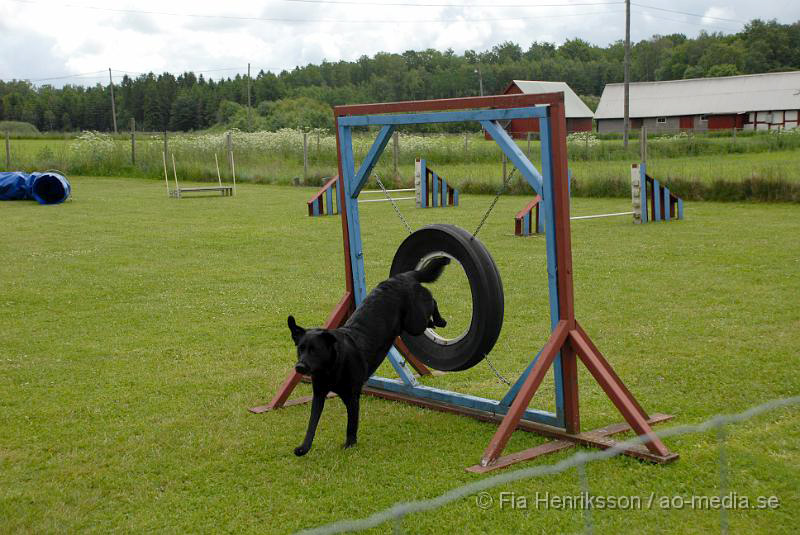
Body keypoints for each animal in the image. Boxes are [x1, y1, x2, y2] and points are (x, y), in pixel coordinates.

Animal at [288, 258, 450, 456]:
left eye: (315, 350)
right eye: (300, 349)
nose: (299, 367)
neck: (333, 367)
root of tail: (401, 277)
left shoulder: (352, 397)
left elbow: (351, 424)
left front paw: (349, 444)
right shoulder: (319, 394)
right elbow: (312, 424)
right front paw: (304, 447)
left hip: (415, 323)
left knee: (431, 300)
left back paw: (440, 320)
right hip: (412, 323)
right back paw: (434, 322)